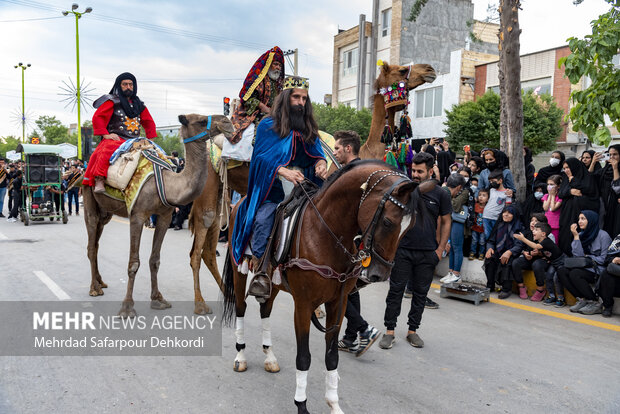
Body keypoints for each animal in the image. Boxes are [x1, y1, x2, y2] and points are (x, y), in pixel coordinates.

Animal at [83, 113, 234, 316]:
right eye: (201, 121)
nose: (228, 122)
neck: (168, 184)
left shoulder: (164, 216)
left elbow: (155, 260)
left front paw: (158, 299)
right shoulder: (137, 216)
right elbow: (133, 263)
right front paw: (127, 308)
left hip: (105, 212)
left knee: (97, 243)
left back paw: (101, 282)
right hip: (88, 196)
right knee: (91, 245)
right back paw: (94, 288)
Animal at [220, 161, 428, 414]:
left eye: (410, 228)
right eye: (388, 222)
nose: (380, 274)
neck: (325, 233)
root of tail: (239, 202)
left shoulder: (337, 303)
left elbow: (332, 356)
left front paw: (334, 404)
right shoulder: (303, 305)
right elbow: (304, 357)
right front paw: (301, 405)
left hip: (274, 282)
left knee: (265, 310)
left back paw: (270, 357)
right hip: (238, 269)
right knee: (240, 308)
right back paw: (240, 356)